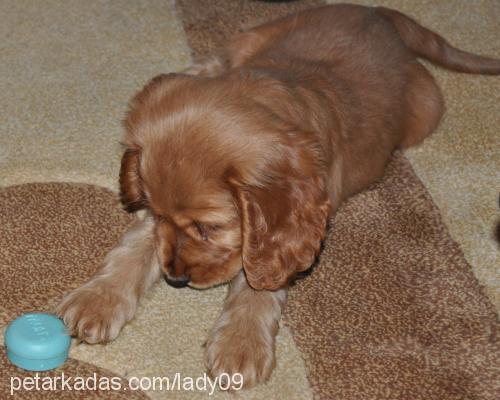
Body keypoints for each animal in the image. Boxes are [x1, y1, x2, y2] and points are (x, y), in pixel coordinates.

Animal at [54, 3, 500, 388]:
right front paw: (98, 300)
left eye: (209, 227)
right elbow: (134, 248)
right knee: (209, 64)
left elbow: (259, 280)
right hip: (252, 37)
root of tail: (375, 13)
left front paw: (240, 344)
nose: (176, 280)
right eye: (159, 214)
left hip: (427, 110)